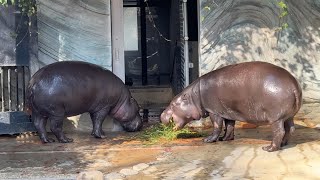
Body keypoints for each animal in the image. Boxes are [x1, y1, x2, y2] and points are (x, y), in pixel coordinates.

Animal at [161, 61, 302, 151]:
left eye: (172, 103)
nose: (161, 115)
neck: (194, 97)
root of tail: (293, 86)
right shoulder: (227, 111)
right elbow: (229, 126)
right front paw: (225, 139)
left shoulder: (214, 111)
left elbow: (217, 126)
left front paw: (208, 140)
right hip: (288, 116)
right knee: (290, 129)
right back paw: (283, 144)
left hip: (276, 118)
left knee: (279, 131)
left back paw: (269, 148)